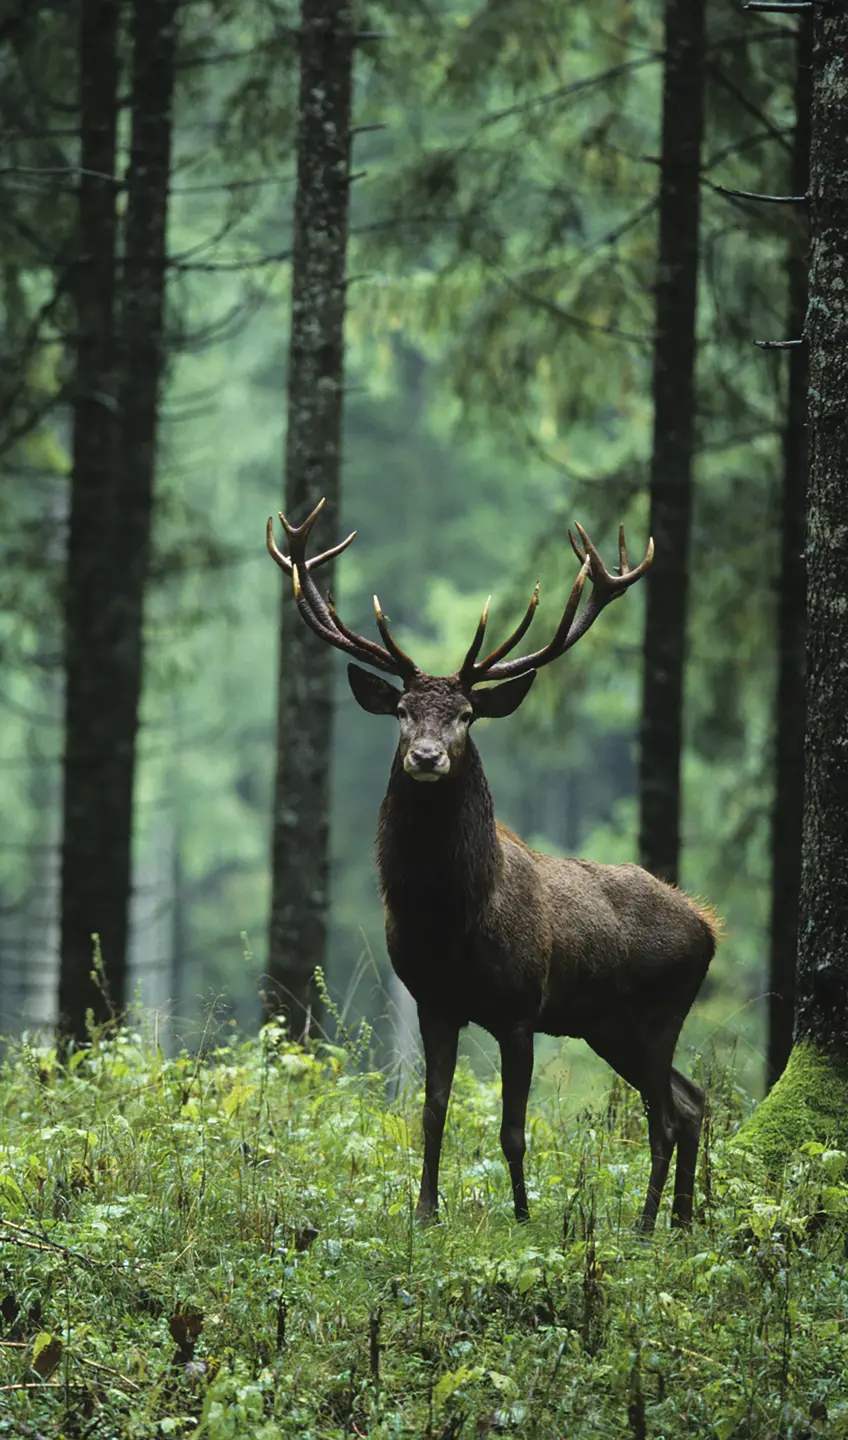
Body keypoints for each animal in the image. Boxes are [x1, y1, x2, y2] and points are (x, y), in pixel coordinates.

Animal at [266, 500, 718, 1233]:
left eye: (467, 714)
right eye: (401, 710)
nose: (425, 756)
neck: (452, 920)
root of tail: (709, 927)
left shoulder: (518, 1008)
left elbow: (513, 1129)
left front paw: (524, 1217)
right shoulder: (433, 1002)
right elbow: (431, 1112)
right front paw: (425, 1212)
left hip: (658, 1012)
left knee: (668, 1116)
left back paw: (648, 1226)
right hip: (609, 1025)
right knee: (692, 1100)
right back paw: (677, 1223)